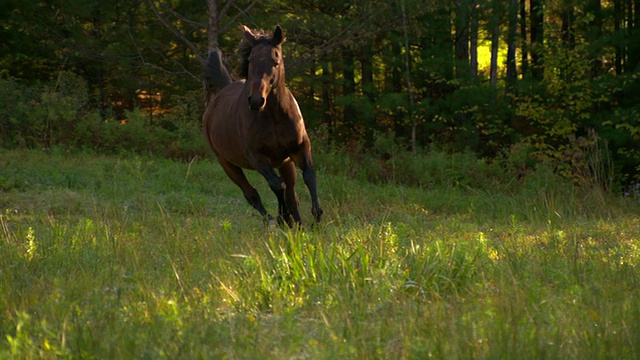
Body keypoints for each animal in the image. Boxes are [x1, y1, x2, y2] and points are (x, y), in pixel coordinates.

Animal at [202, 25, 322, 226]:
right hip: (227, 163)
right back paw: (274, 221)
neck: (273, 116)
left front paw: (316, 216)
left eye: (275, 60)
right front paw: (283, 217)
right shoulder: (257, 158)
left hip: (285, 163)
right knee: (252, 195)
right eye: (251, 60)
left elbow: (309, 176)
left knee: (291, 193)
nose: (256, 101)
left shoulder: (299, 148)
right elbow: (276, 185)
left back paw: (297, 223)